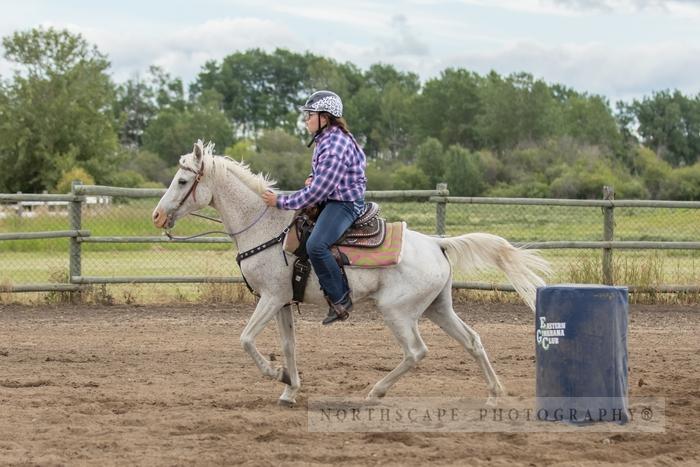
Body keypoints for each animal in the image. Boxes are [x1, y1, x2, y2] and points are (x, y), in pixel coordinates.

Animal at [153, 141, 552, 408]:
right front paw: (290, 388)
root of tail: (437, 243)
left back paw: (375, 391)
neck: (266, 226)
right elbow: (288, 346)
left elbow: (246, 339)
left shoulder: (270, 297)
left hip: (397, 312)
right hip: (438, 307)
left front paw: (277, 375)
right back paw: (494, 394)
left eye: (182, 181)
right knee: (472, 341)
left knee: (416, 351)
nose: (157, 216)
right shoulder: (283, 301)